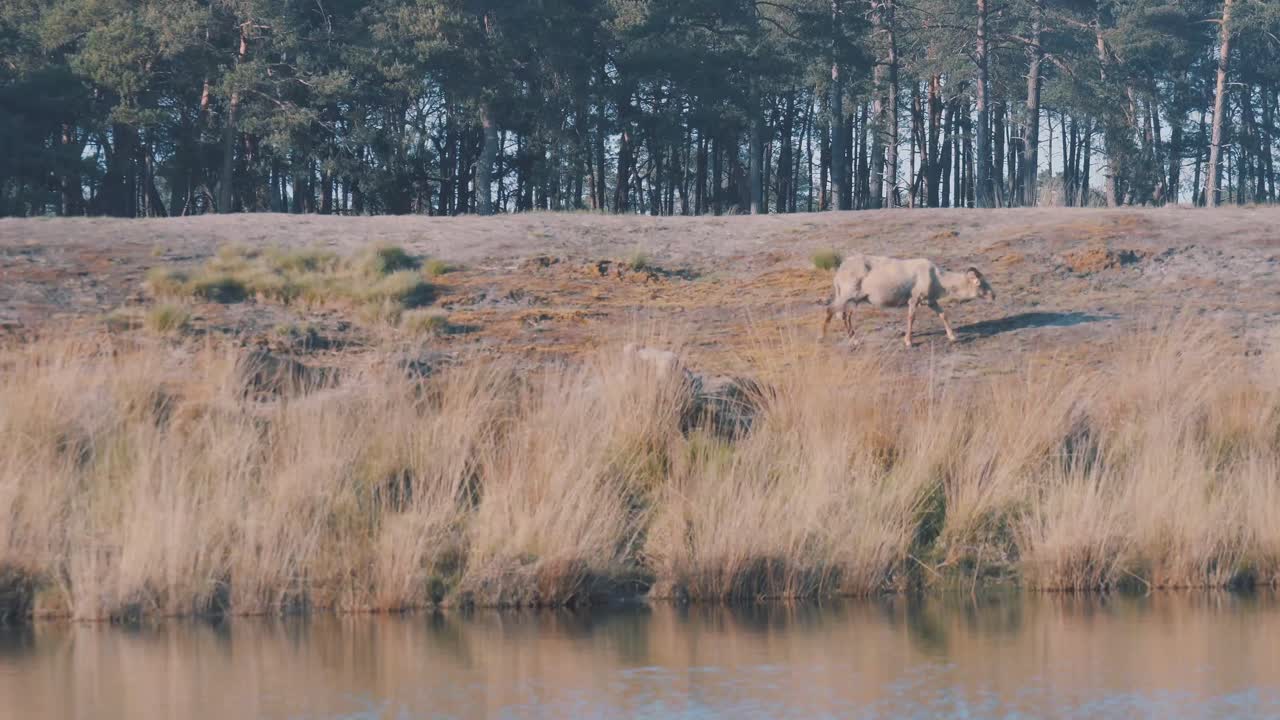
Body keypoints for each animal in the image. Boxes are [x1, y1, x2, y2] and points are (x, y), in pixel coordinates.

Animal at [821, 254, 995, 347]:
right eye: (981, 283)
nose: (994, 295)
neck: (937, 277)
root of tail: (840, 270)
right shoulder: (915, 298)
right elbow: (912, 318)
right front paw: (908, 342)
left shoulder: (930, 301)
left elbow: (943, 315)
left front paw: (952, 337)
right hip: (847, 294)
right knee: (830, 310)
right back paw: (822, 338)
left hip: (854, 298)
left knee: (846, 316)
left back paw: (854, 339)